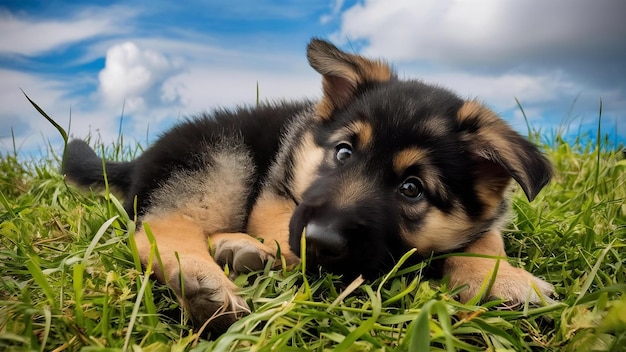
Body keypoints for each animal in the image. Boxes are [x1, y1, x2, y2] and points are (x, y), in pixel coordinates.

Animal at [62, 39, 552, 336]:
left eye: (412, 188)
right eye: (343, 153)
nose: (319, 241)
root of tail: (138, 160)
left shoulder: (482, 219)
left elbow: (486, 239)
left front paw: (502, 278)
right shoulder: (279, 195)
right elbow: (285, 228)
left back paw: (237, 250)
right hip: (220, 160)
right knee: (157, 227)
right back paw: (205, 279)